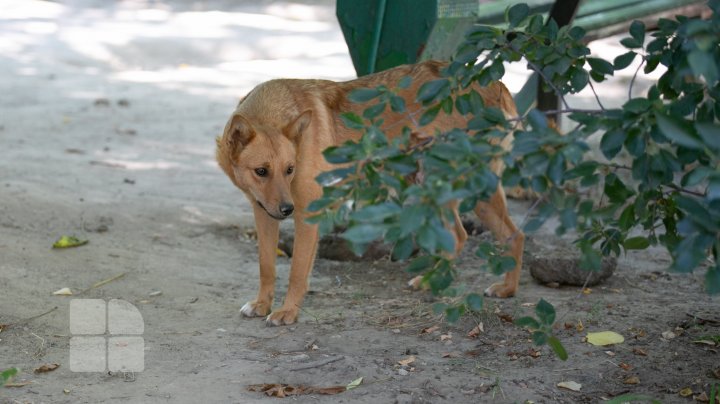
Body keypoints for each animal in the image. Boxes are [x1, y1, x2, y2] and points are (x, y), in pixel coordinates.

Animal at [217, 59, 524, 326]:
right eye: (261, 171)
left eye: (290, 169)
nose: (286, 210)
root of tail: (494, 83)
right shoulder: (263, 213)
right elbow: (266, 266)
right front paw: (261, 304)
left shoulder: (306, 215)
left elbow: (296, 272)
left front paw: (288, 311)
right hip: (431, 186)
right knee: (460, 236)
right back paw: (431, 281)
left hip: (470, 186)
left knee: (514, 234)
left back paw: (508, 289)